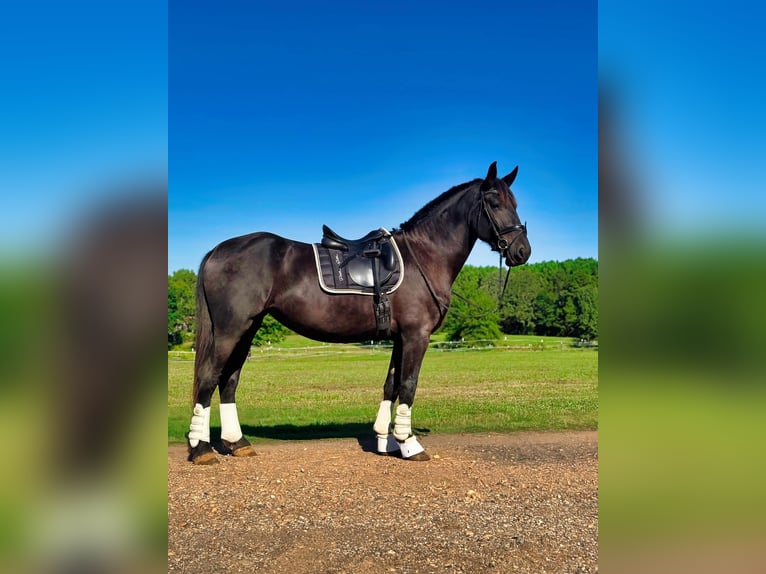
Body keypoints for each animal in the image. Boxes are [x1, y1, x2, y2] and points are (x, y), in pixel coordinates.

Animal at [187, 161, 531, 464]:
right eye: (494, 203)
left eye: (515, 203)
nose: (522, 251)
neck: (423, 256)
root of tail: (219, 250)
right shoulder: (416, 336)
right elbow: (408, 385)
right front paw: (409, 444)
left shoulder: (399, 338)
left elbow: (391, 384)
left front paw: (386, 440)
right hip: (230, 330)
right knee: (209, 376)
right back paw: (201, 449)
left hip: (247, 329)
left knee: (229, 381)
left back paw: (237, 443)